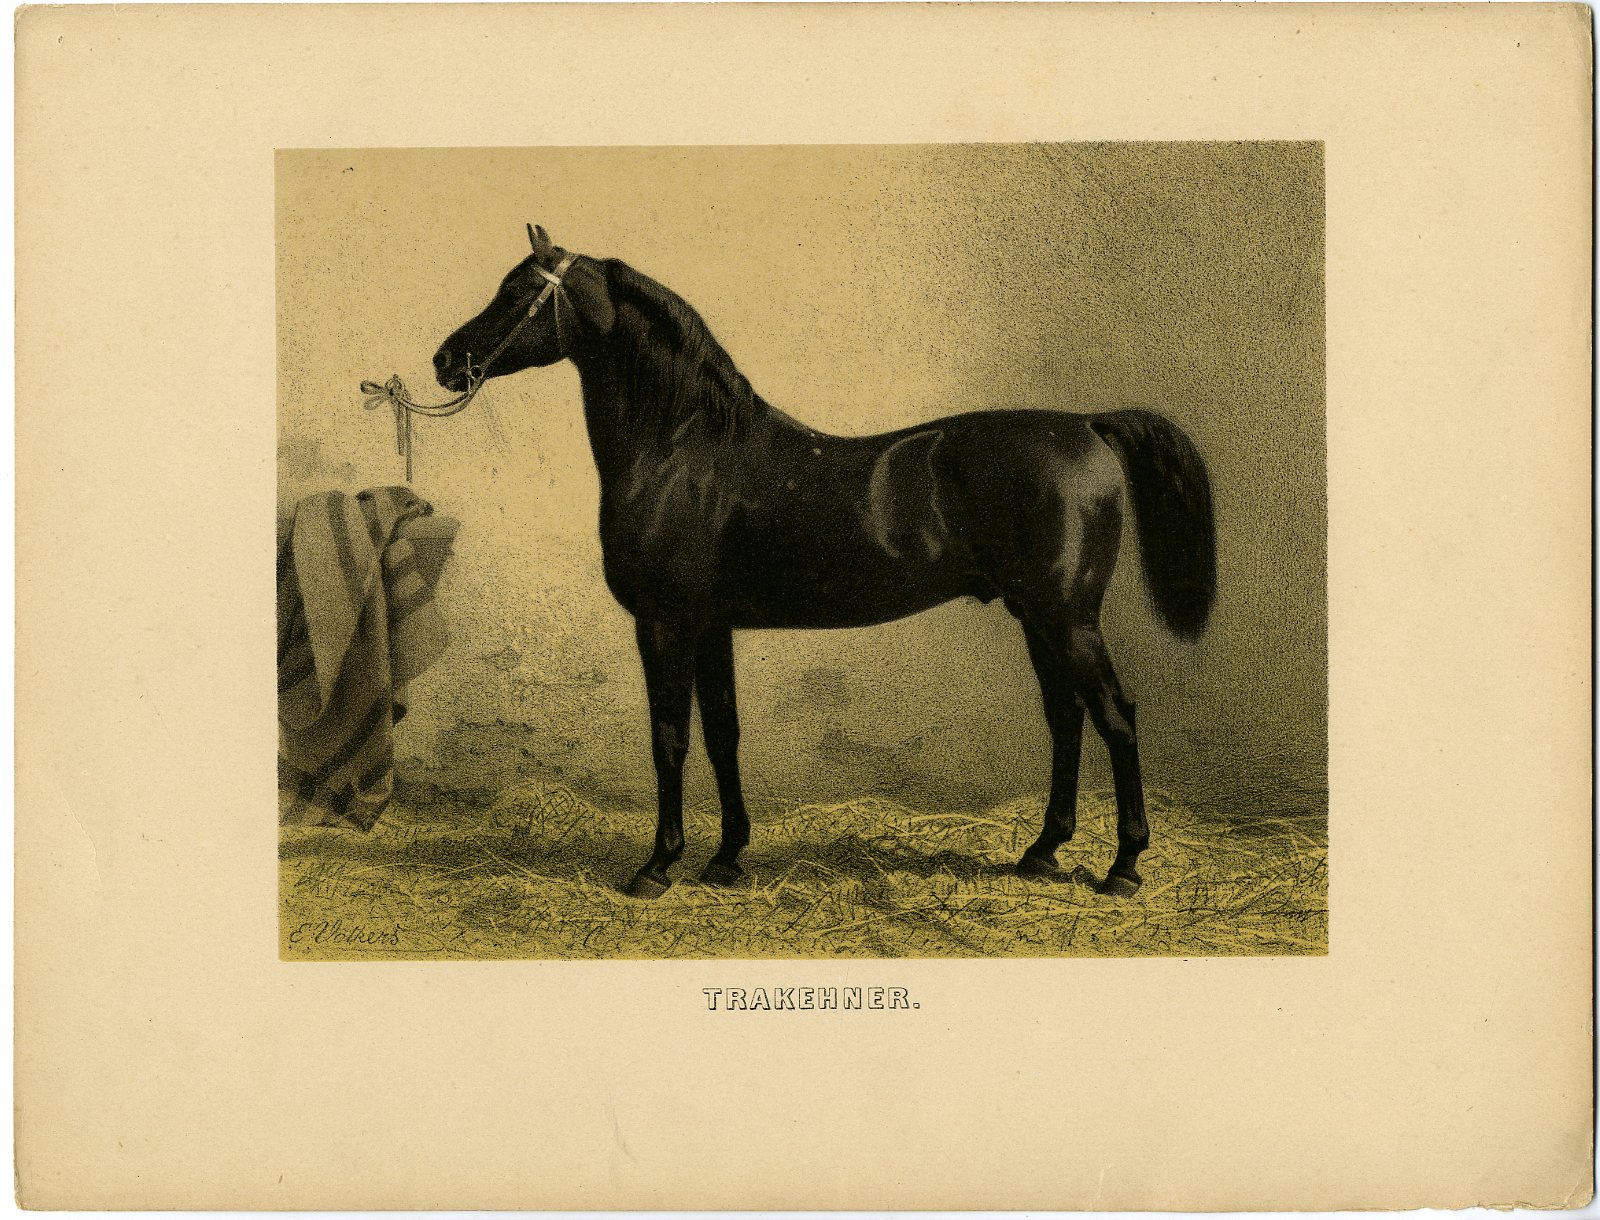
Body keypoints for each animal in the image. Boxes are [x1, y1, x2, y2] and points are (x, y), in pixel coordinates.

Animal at [433, 224, 1216, 900]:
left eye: (516, 291)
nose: (446, 361)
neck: (685, 449)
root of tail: (1086, 425)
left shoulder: (664, 624)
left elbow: (670, 739)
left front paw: (657, 866)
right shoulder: (711, 628)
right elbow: (722, 735)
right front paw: (727, 857)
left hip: (1068, 617)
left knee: (1115, 715)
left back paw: (1124, 867)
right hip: (1038, 617)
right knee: (1066, 717)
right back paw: (1041, 852)